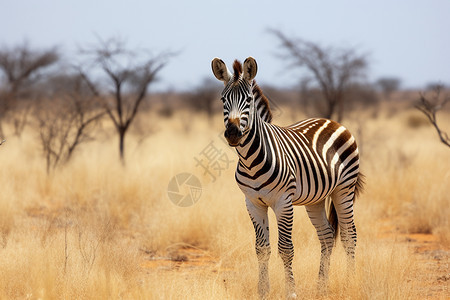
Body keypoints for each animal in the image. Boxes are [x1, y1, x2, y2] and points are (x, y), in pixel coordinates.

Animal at [212, 57, 366, 298]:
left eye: (248, 100)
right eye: (223, 99)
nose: (233, 133)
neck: (251, 160)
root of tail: (332, 121)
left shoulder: (283, 202)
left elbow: (285, 249)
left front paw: (291, 292)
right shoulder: (253, 203)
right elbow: (262, 249)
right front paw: (263, 291)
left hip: (344, 189)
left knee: (349, 236)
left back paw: (351, 282)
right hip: (316, 198)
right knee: (327, 236)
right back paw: (322, 286)